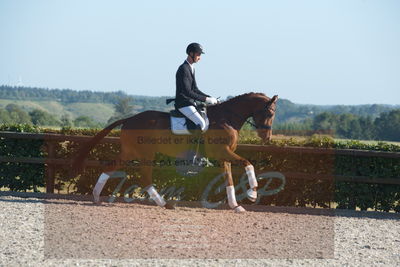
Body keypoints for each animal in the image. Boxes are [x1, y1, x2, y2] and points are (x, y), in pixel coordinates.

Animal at [72, 92, 276, 214]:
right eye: (270, 113)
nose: (266, 137)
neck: (227, 118)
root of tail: (130, 119)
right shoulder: (221, 151)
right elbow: (248, 163)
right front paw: (252, 193)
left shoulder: (223, 155)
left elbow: (229, 180)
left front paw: (236, 205)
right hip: (145, 153)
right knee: (145, 178)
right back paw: (165, 204)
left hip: (130, 152)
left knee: (110, 167)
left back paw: (96, 197)